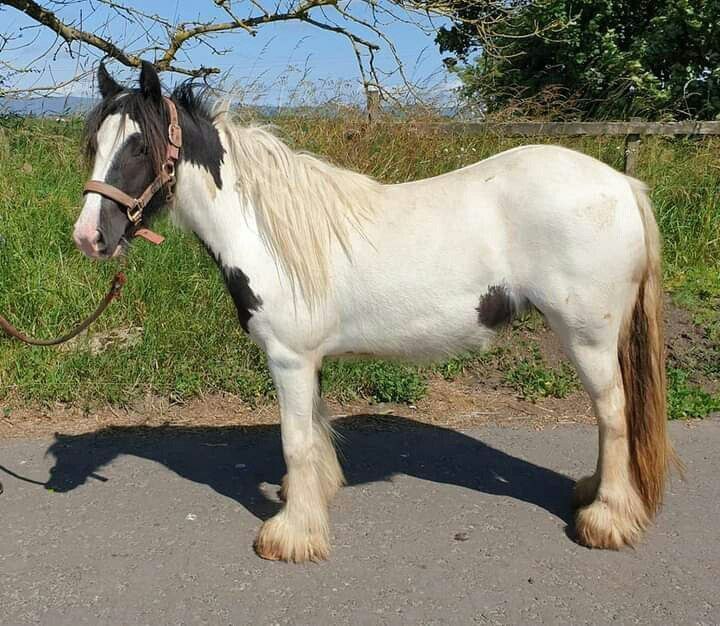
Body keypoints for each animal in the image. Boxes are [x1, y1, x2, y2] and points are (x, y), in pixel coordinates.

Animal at [73, 61, 678, 562]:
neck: (268, 231)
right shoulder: (308, 359)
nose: (89, 237)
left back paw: (606, 519)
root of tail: (621, 183)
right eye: (95, 143)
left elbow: (294, 439)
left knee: (613, 413)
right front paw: (312, 498)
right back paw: (593, 493)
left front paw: (291, 536)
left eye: (139, 148)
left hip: (588, 337)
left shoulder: (289, 357)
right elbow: (314, 430)